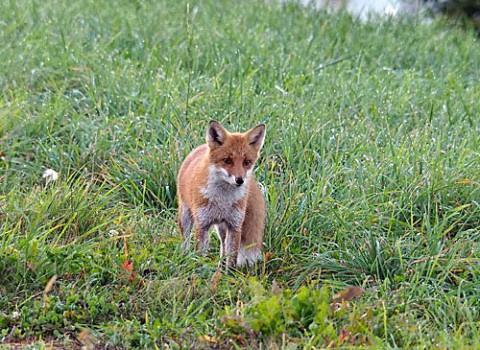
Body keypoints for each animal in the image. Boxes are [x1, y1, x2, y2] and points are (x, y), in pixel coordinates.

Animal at [177, 120, 266, 268]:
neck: (223, 200)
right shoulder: (203, 225)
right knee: (185, 240)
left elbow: (231, 259)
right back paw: (183, 258)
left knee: (223, 248)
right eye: (227, 160)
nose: (240, 180)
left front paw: (228, 273)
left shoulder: (235, 226)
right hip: (185, 217)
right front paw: (199, 272)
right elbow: (199, 256)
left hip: (223, 227)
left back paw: (219, 268)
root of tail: (201, 147)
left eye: (246, 162)